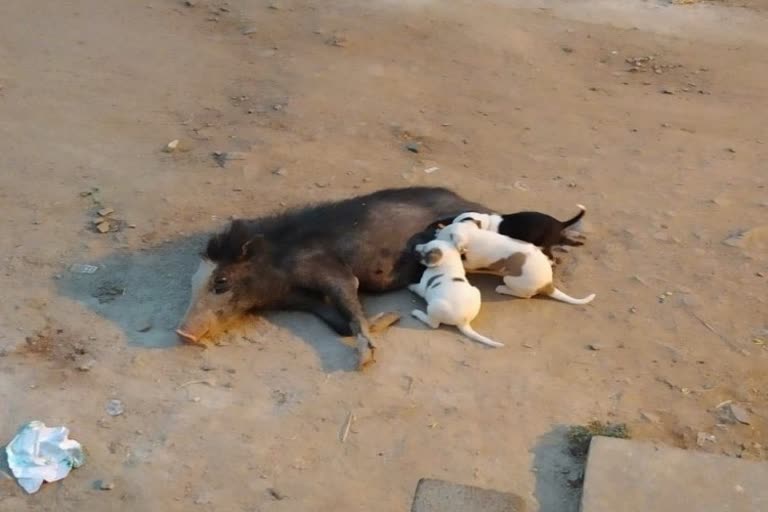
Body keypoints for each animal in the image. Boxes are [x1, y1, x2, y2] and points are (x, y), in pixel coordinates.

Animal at [178, 186, 496, 370]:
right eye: (192, 282)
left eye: (221, 281)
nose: (182, 334)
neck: (277, 264)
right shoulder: (298, 297)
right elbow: (338, 322)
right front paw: (389, 317)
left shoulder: (330, 269)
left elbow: (350, 303)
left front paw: (365, 359)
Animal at [436, 220, 596, 304]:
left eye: (445, 237)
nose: (435, 234)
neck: (473, 235)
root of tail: (548, 284)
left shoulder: (471, 262)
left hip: (511, 279)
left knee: (525, 295)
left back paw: (502, 289)